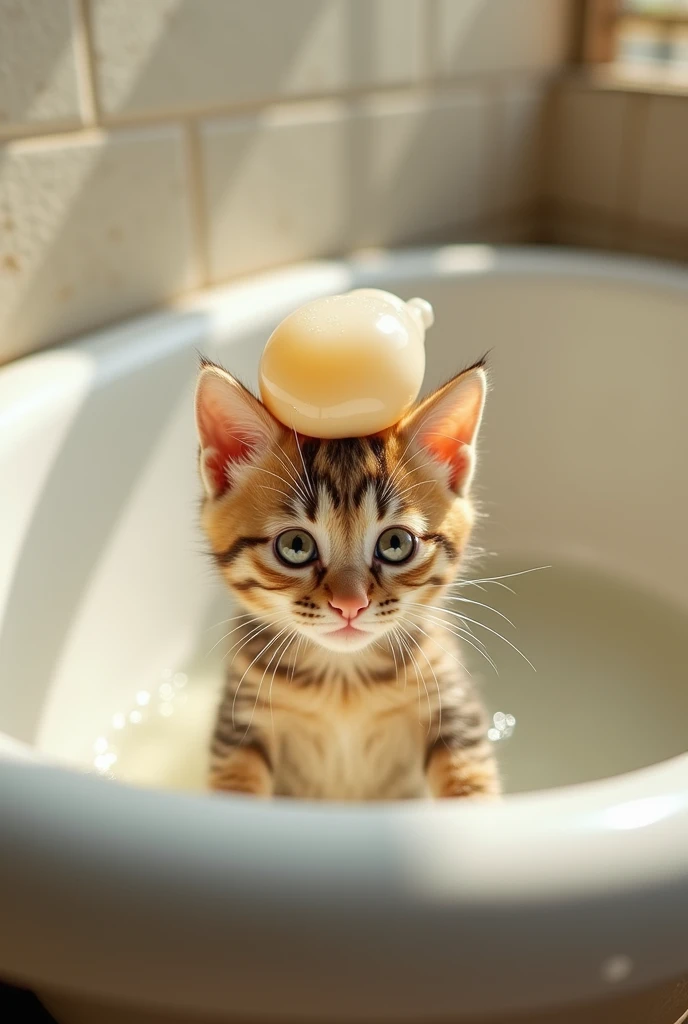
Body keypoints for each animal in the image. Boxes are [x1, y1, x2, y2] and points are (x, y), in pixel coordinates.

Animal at [194, 358, 499, 798]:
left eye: (395, 543)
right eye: (296, 546)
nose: (350, 604)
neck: (343, 680)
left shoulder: (454, 707)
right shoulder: (240, 720)